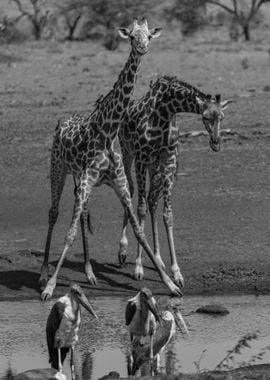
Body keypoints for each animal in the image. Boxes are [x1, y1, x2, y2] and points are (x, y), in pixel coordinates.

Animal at [40, 20, 182, 300]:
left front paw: (170, 283)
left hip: (80, 180)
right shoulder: (87, 180)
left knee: (83, 214)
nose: (142, 48)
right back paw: (43, 273)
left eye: (149, 36)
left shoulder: (120, 184)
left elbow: (139, 231)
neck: (108, 130)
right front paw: (50, 287)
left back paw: (89, 273)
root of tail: (61, 122)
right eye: (132, 37)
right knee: (53, 212)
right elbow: (69, 234)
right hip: (59, 168)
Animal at [117, 75, 233, 284]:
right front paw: (138, 267)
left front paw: (176, 272)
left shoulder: (168, 160)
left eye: (222, 117)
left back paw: (157, 258)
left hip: (155, 167)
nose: (216, 143)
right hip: (127, 153)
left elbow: (167, 215)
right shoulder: (141, 158)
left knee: (153, 200)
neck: (165, 111)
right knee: (129, 190)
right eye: (205, 117)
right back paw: (122, 251)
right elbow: (141, 209)